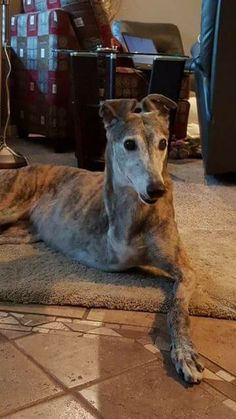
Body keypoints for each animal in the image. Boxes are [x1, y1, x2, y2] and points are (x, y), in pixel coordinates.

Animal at [0, 94, 203, 384]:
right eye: (129, 144)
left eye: (163, 143)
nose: (157, 189)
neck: (139, 210)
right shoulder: (117, 256)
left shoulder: (185, 270)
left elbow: (178, 309)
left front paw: (185, 351)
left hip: (21, 233)